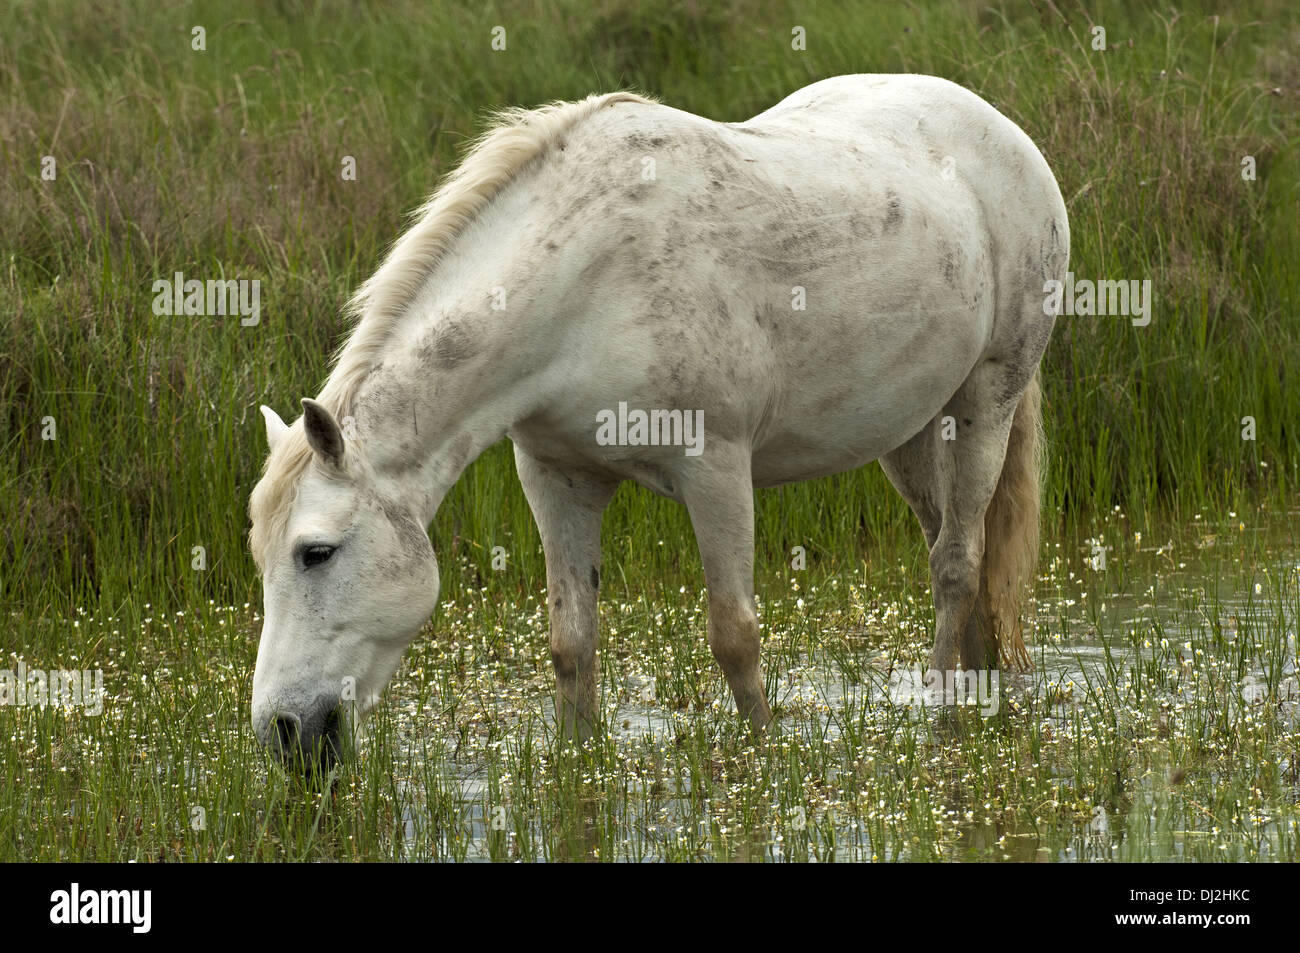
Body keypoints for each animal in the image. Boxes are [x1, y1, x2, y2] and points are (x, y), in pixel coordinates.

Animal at [245, 76, 1066, 774]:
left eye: (316, 553)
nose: (281, 731)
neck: (586, 283)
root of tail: (1004, 132)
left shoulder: (717, 470)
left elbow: (734, 636)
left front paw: (763, 766)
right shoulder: (558, 478)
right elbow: (571, 643)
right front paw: (580, 770)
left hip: (988, 398)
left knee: (956, 561)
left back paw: (946, 720)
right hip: (912, 429)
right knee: (960, 549)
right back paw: (982, 690)